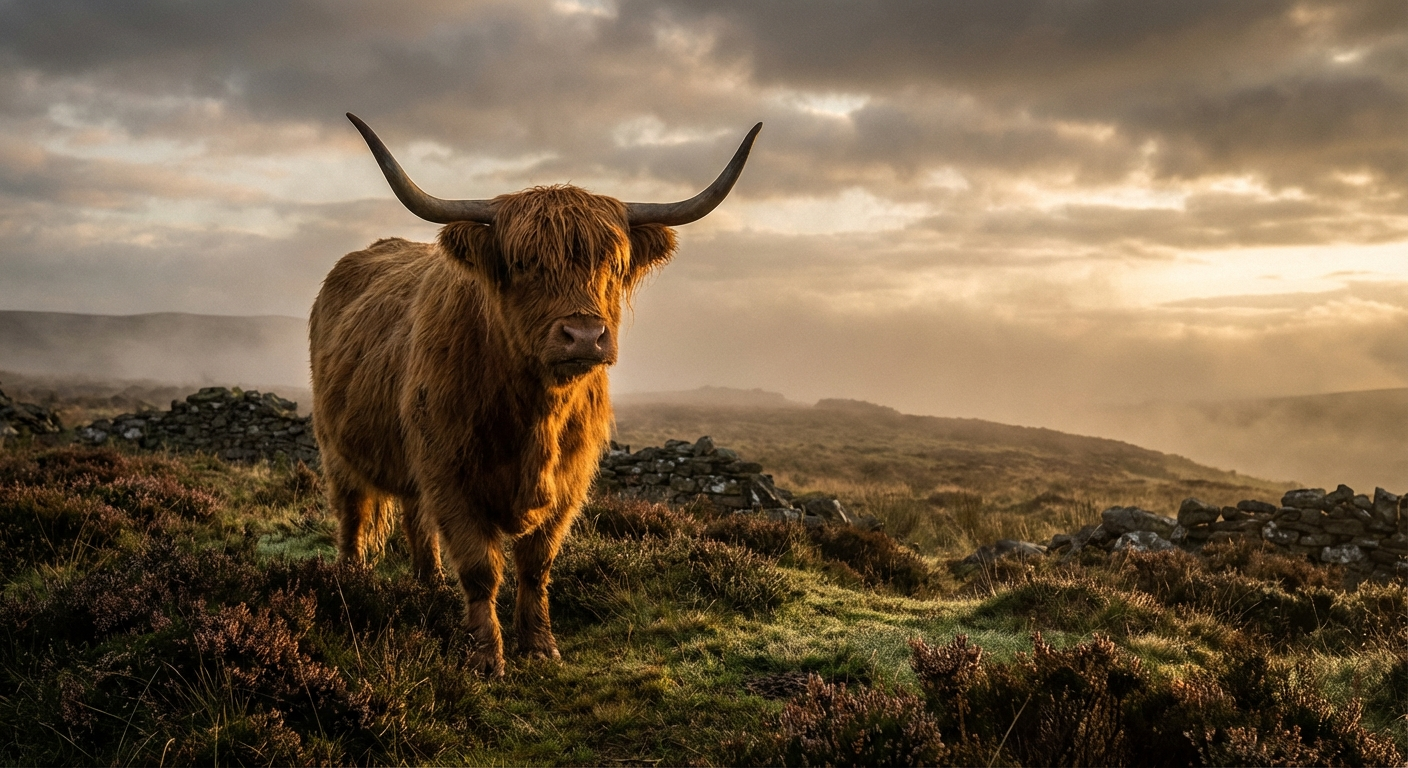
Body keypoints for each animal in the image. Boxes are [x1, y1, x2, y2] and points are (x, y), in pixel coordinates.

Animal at [310, 113, 760, 675]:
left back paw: (428, 584)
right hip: (337, 448)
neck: (535, 414)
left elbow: (536, 563)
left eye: (613, 265)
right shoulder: (451, 475)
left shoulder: (568, 481)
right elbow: (480, 568)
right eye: (523, 262)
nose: (585, 335)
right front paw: (486, 657)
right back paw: (350, 582)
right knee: (352, 513)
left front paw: (540, 645)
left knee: (416, 519)